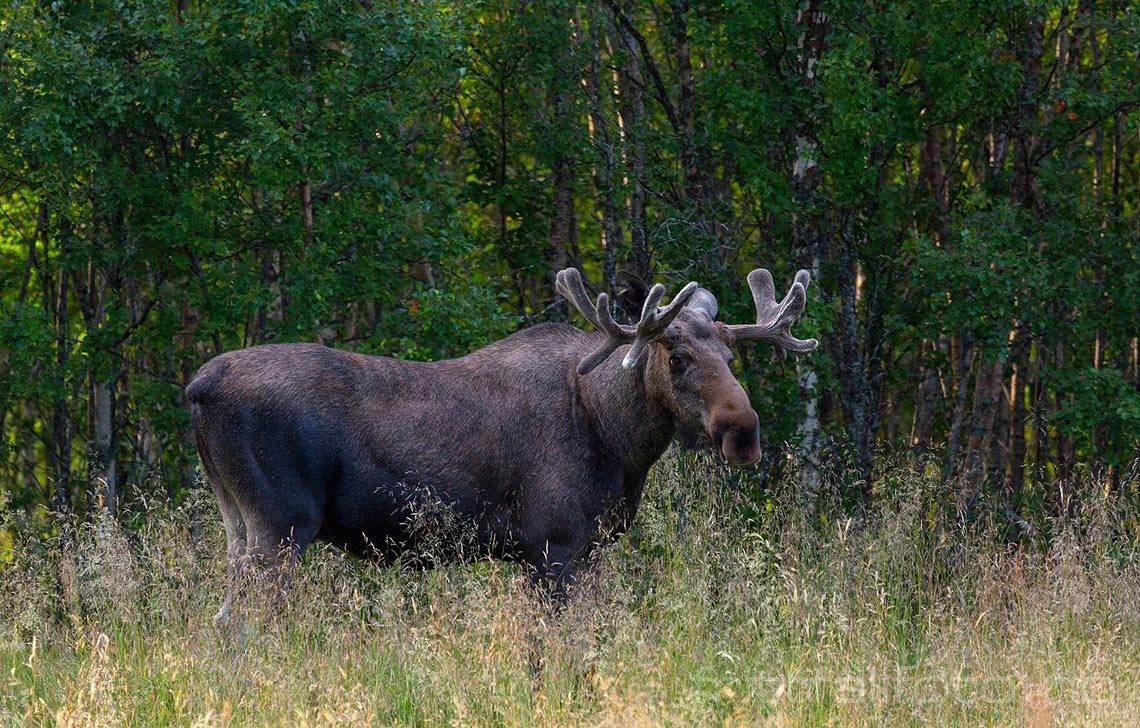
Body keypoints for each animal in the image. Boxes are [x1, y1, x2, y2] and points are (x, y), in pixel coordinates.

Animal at [186, 264, 816, 624]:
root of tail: (198, 388)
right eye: (679, 357)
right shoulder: (552, 546)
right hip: (281, 522)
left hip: (239, 521)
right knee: (239, 622)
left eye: (731, 356)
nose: (743, 432)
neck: (618, 439)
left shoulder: (582, 552)